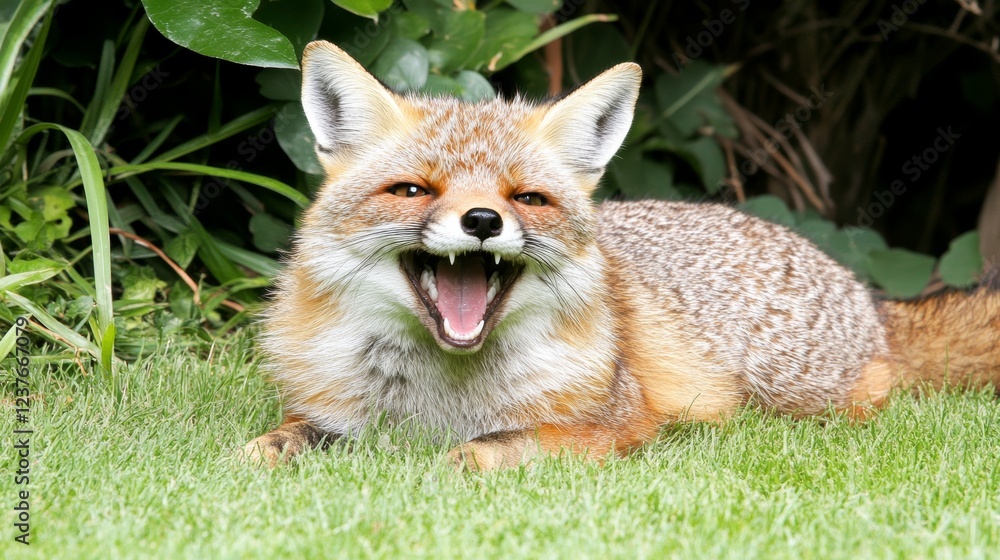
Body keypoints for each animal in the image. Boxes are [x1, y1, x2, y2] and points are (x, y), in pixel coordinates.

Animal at [244, 40, 1000, 471]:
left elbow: (487, 451)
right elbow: (287, 438)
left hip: (796, 394)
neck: (440, 397)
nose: (483, 220)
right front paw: (266, 453)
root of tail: (869, 299)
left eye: (527, 199)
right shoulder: (333, 410)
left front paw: (444, 466)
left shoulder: (617, 423)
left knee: (879, 391)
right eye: (413, 191)